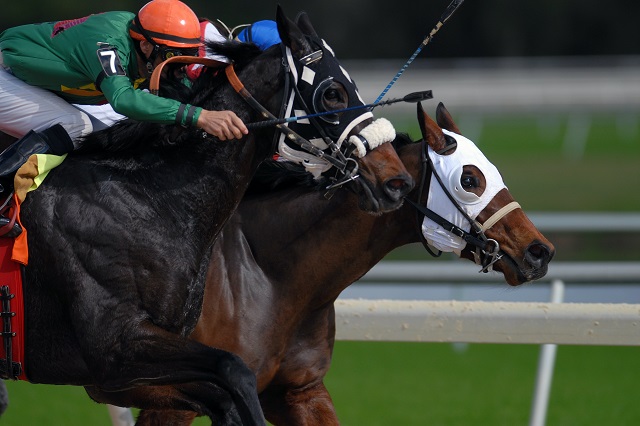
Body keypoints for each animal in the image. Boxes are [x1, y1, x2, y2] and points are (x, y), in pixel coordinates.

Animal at [0, 7, 414, 425]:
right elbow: (234, 370)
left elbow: (226, 393)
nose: (396, 181)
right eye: (332, 92)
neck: (147, 198)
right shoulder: (115, 350)